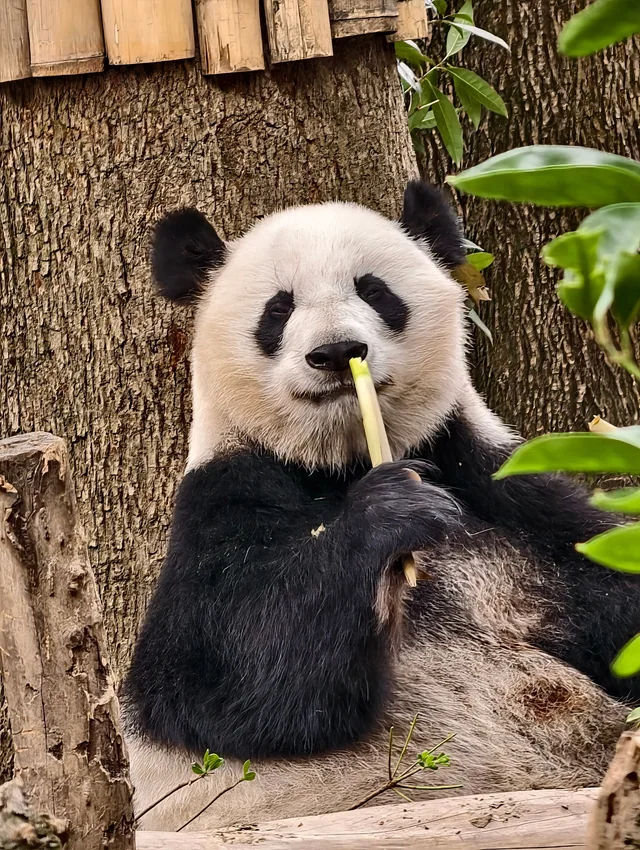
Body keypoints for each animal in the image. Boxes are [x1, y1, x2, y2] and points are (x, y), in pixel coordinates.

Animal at [123, 181, 640, 832]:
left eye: (374, 290)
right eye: (278, 309)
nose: (337, 351)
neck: (341, 462)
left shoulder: (498, 487)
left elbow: (605, 586)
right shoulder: (223, 499)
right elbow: (222, 682)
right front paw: (392, 512)